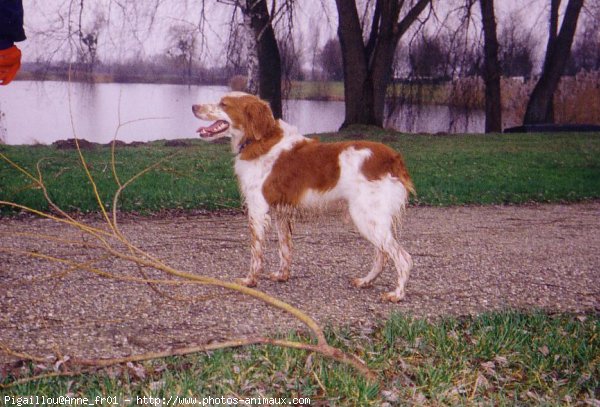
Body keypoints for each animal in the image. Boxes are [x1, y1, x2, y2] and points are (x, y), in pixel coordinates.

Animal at [193, 92, 418, 302]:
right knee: (382, 255)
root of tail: (393, 159)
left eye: (223, 104)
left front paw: (250, 281)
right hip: (372, 220)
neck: (260, 139)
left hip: (366, 218)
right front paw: (282, 275)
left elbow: (256, 252)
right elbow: (285, 248)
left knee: (403, 258)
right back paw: (366, 281)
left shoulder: (257, 209)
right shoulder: (281, 213)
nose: (194, 107)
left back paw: (397, 294)